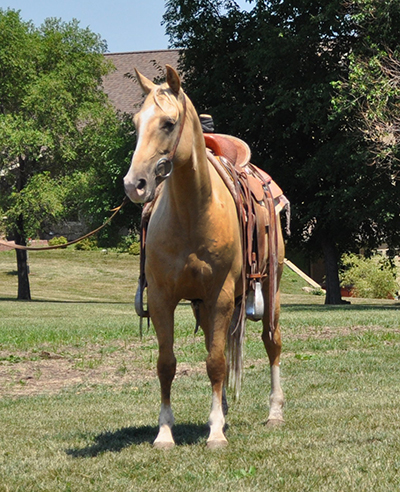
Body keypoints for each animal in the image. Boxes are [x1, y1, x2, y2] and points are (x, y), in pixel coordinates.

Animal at [123, 65, 286, 450]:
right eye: (136, 123)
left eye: (169, 123)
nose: (134, 184)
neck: (192, 213)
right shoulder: (162, 298)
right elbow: (167, 364)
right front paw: (165, 432)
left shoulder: (221, 295)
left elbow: (215, 362)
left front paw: (215, 433)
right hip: (203, 304)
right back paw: (223, 408)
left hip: (270, 290)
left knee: (271, 342)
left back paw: (274, 412)